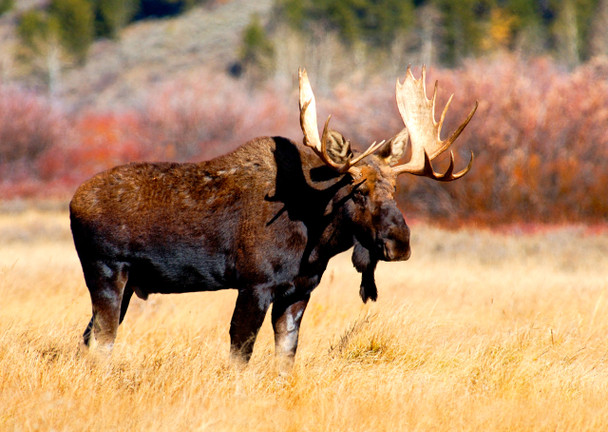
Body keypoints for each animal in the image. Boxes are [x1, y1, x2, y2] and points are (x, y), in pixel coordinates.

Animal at [71, 67, 478, 368]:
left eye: (395, 191)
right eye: (358, 191)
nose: (400, 243)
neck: (315, 241)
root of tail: (74, 202)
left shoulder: (298, 291)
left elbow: (286, 356)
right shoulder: (255, 284)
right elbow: (240, 353)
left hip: (124, 283)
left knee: (89, 336)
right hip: (106, 271)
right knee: (102, 340)